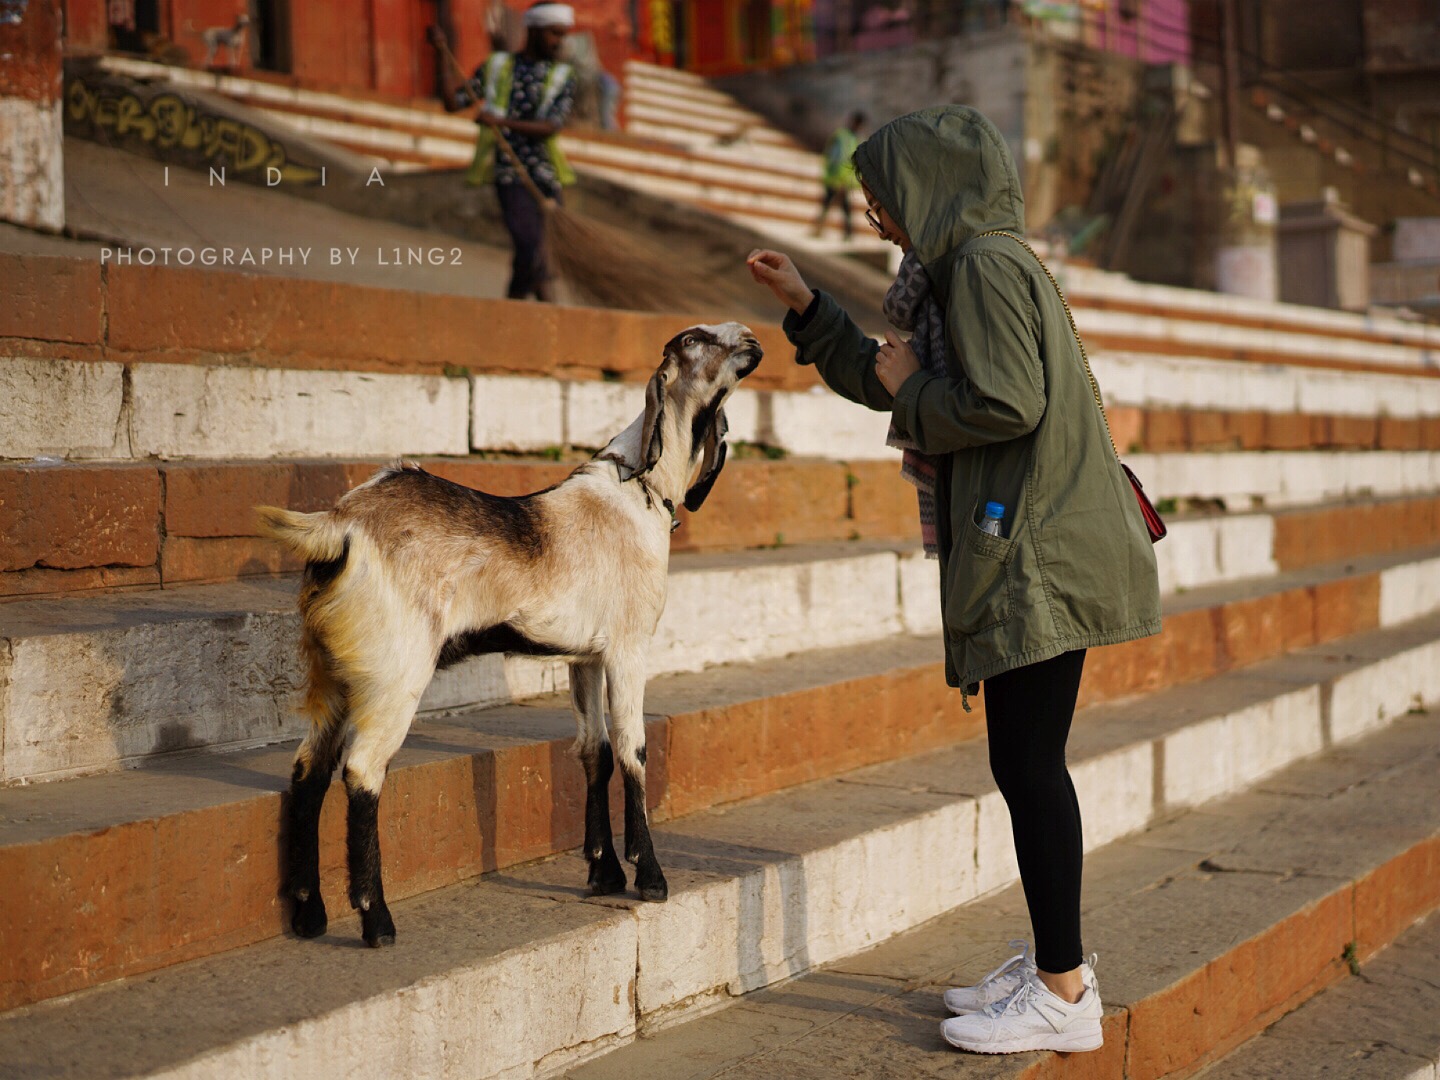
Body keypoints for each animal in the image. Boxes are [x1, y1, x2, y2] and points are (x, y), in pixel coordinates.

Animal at [256, 321, 766, 944]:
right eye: (693, 339)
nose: (750, 336)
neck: (638, 492)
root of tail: (340, 526)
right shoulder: (628, 649)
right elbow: (632, 749)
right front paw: (650, 878)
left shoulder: (583, 658)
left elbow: (593, 749)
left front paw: (603, 872)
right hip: (395, 675)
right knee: (362, 770)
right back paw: (376, 920)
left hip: (334, 674)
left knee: (309, 770)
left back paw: (310, 913)